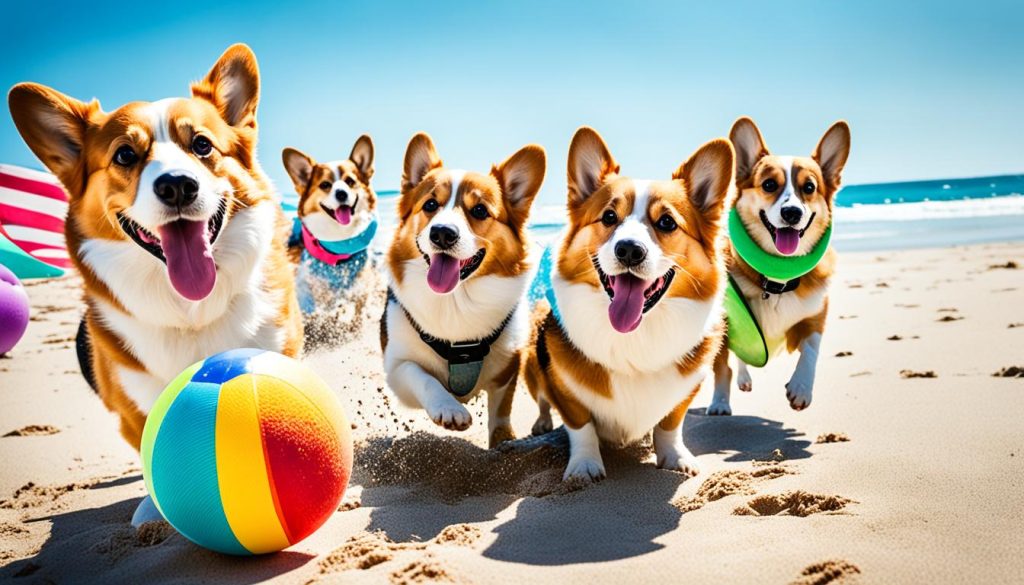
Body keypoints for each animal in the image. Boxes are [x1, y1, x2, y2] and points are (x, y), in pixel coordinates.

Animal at [382, 133, 544, 448]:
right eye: (430, 205)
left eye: (479, 210)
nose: (442, 233)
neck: (455, 301)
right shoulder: (397, 366)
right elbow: (422, 376)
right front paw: (449, 408)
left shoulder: (509, 367)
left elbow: (501, 414)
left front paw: (503, 442)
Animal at [524, 128, 733, 481]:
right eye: (609, 216)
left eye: (667, 223)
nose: (630, 250)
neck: (637, 335)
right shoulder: (565, 392)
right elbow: (580, 425)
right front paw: (584, 466)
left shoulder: (688, 388)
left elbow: (670, 423)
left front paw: (676, 458)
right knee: (541, 401)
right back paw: (540, 424)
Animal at [708, 116, 851, 413]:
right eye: (769, 185)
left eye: (809, 188)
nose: (792, 213)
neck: (775, 282)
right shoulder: (727, 326)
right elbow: (722, 368)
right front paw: (719, 403)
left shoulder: (813, 320)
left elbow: (812, 350)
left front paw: (801, 389)